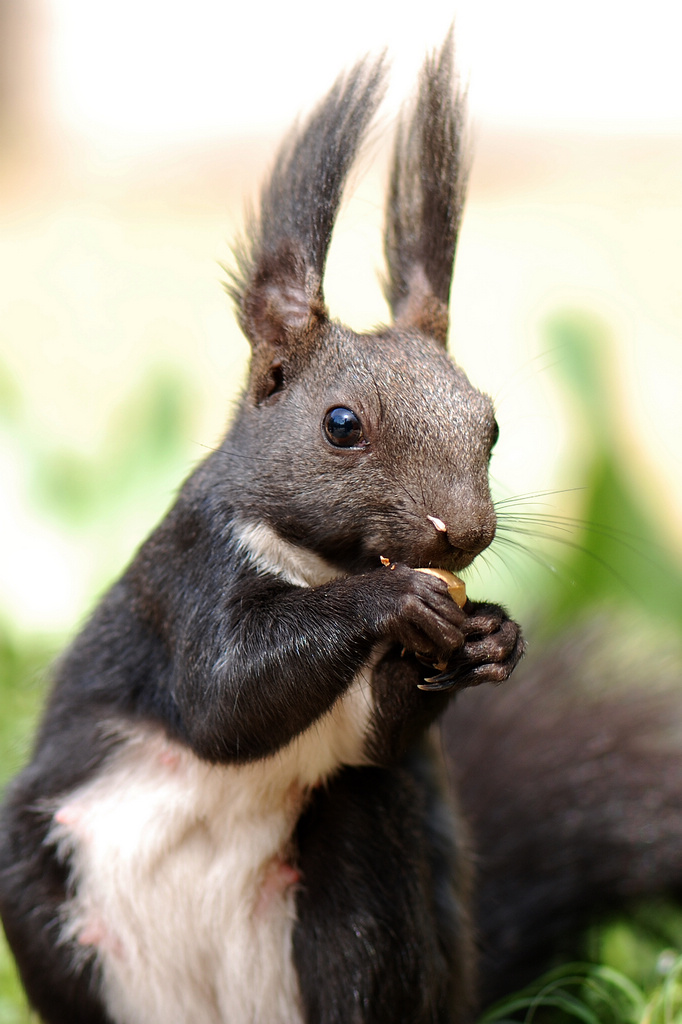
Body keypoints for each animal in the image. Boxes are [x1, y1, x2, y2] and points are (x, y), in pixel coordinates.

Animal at [1, 34, 679, 1024]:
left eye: (491, 424)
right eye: (341, 424)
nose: (462, 533)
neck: (325, 565)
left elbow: (374, 741)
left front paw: (494, 636)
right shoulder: (187, 574)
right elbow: (224, 698)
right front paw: (393, 599)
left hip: (361, 881)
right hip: (40, 894)